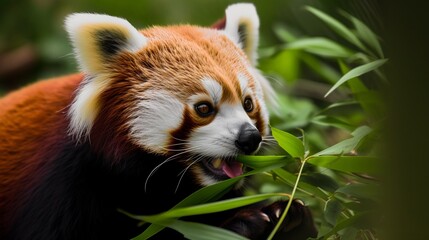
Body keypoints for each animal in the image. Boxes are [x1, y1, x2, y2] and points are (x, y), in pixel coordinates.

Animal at [0, 3, 314, 240]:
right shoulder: (61, 184)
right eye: (204, 108)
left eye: (248, 104)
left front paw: (283, 216)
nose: (249, 138)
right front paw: (246, 223)